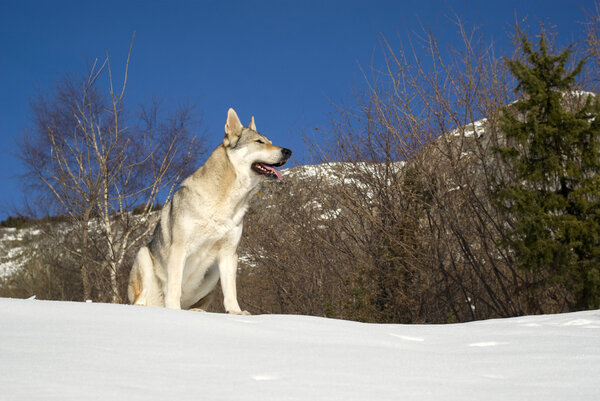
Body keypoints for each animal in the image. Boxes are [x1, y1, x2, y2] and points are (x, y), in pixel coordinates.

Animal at [127, 107, 292, 312]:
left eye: (270, 141)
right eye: (259, 142)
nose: (288, 151)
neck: (226, 200)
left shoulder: (229, 254)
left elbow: (231, 292)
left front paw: (236, 313)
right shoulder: (179, 249)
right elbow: (174, 287)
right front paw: (173, 311)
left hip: (213, 274)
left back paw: (196, 311)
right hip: (143, 256)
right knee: (141, 299)